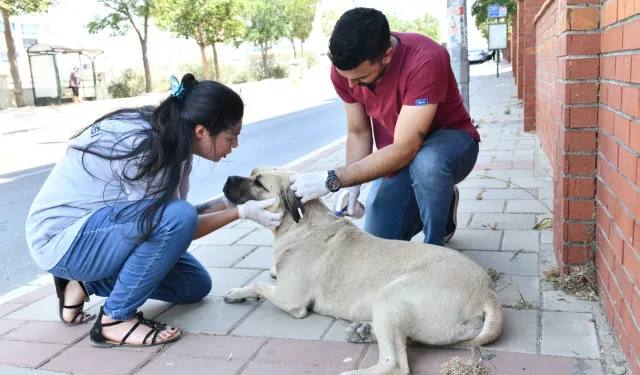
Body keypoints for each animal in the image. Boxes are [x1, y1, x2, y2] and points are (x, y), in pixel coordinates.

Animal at [222, 167, 502, 375]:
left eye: (258, 183)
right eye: (252, 172)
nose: (225, 179)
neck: (300, 222)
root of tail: (488, 294)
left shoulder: (291, 299)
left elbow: (258, 285)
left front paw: (237, 292)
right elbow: (269, 275)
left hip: (389, 299)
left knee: (396, 365)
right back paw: (364, 331)